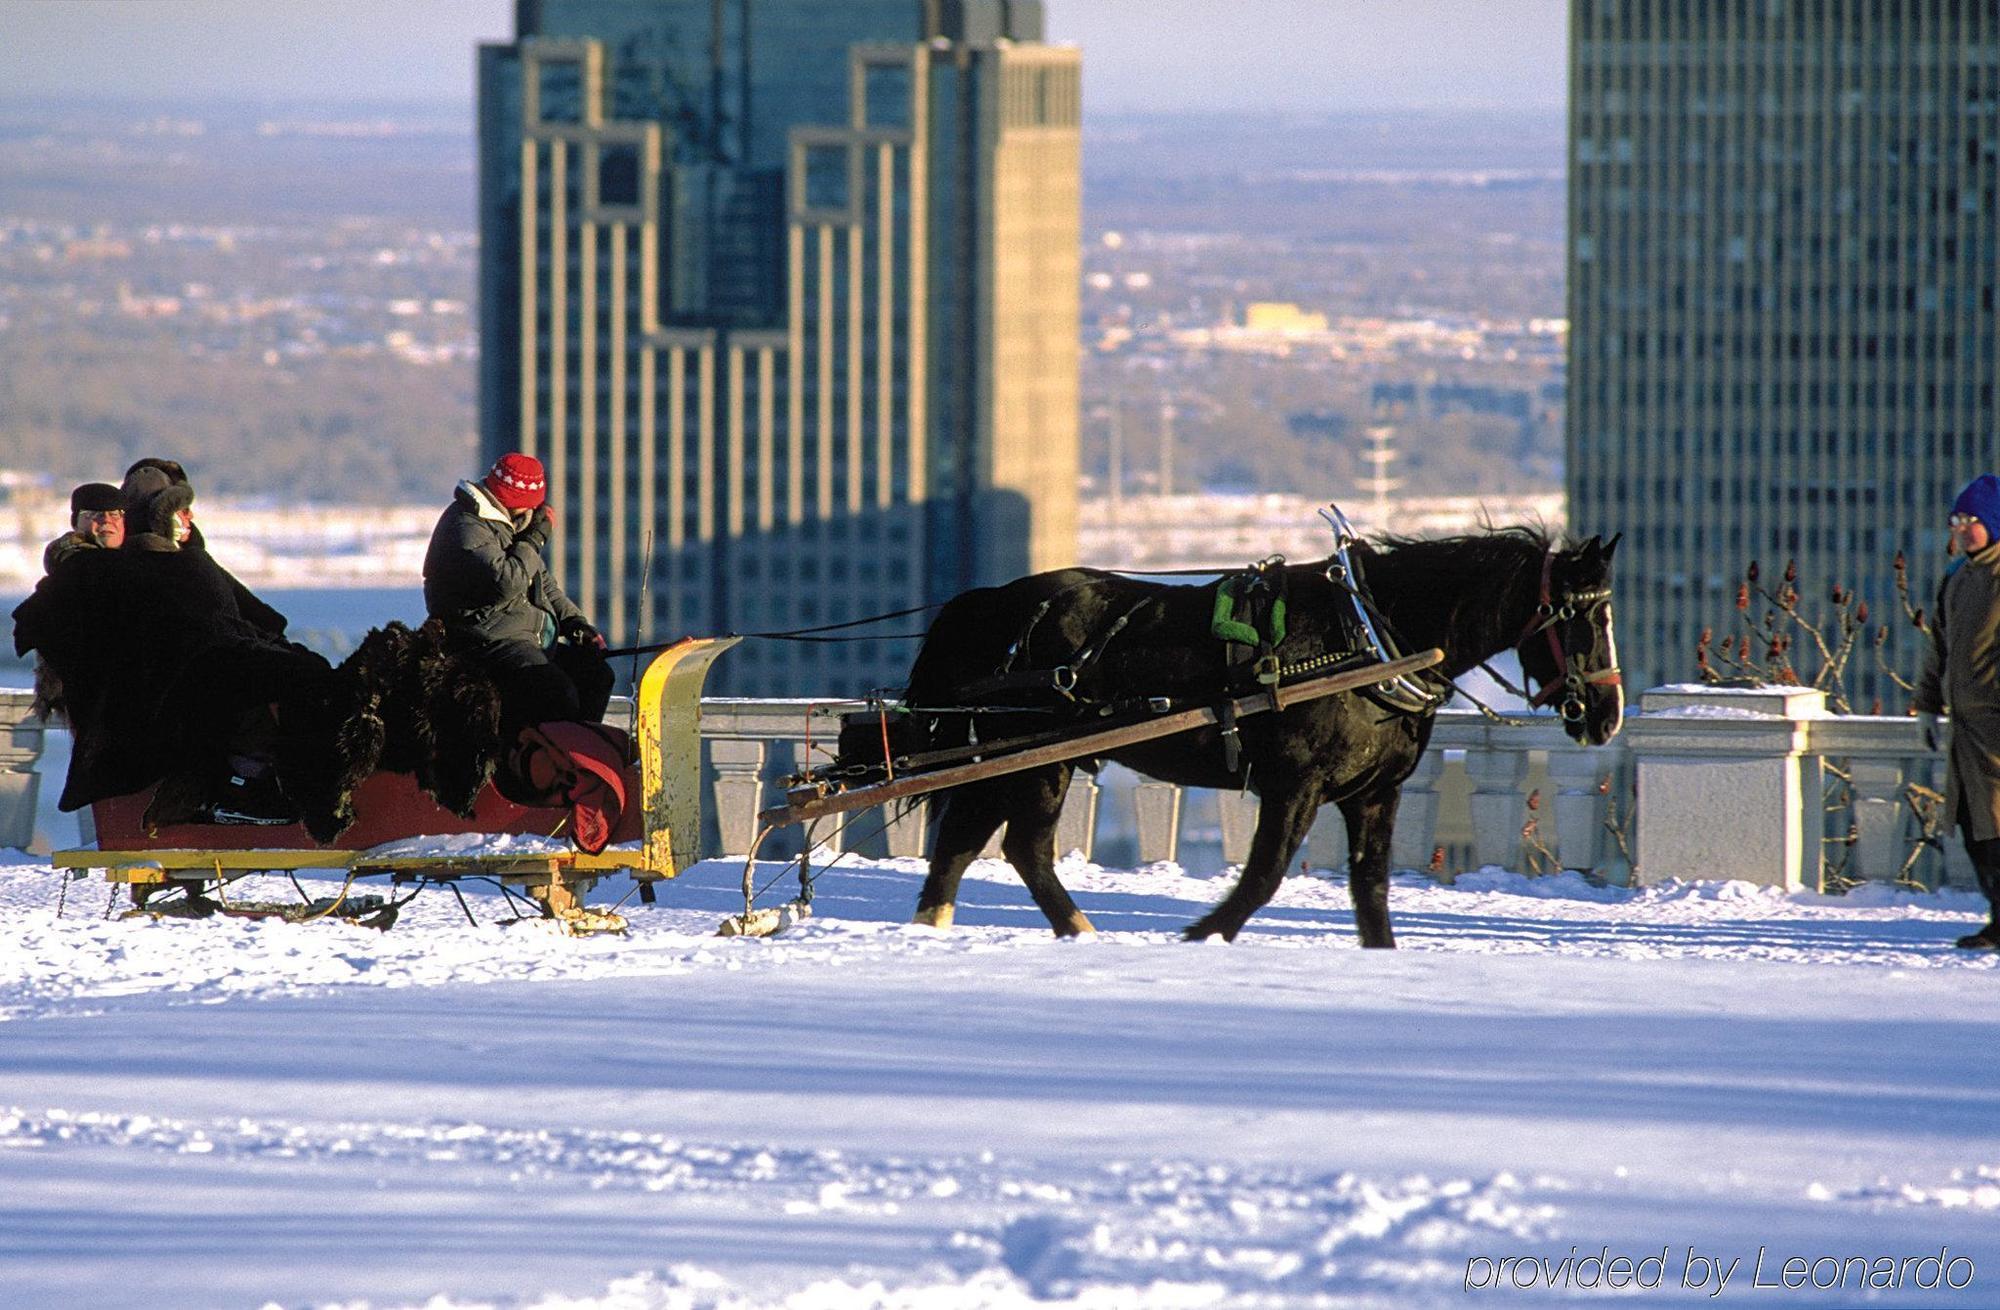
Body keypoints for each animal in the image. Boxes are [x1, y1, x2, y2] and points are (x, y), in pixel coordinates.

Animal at [892, 528, 1624, 948]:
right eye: (1581, 616)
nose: (1607, 713)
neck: (1370, 635)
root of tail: (993, 602)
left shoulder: (1374, 793)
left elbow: (1372, 890)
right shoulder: (1294, 783)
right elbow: (1264, 876)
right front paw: (1203, 935)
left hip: (1020, 757)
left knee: (980, 843)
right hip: (1030, 756)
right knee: (1012, 845)